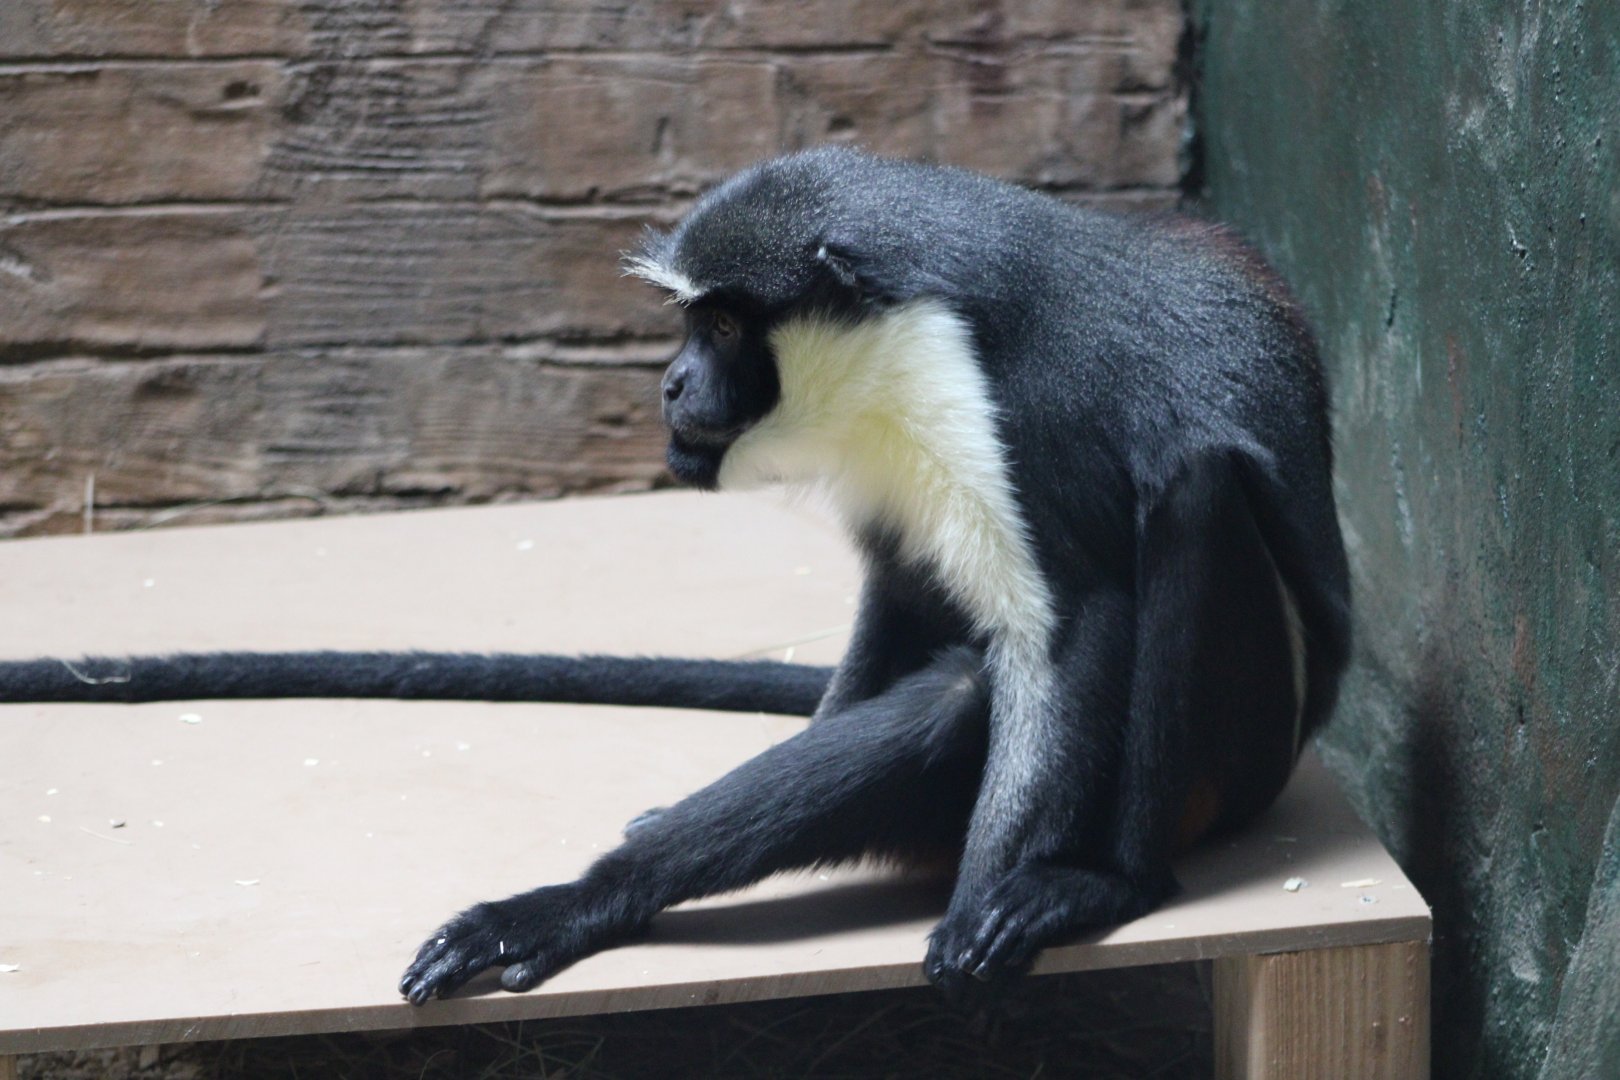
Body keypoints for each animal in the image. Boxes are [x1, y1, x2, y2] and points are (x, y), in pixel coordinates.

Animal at [0, 148, 1350, 1006]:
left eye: (724, 324)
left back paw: (1108, 878)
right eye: (689, 324)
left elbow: (1072, 628)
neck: (909, 332)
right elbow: (895, 597)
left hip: (1232, 759)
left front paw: (996, 905)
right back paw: (592, 895)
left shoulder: (1028, 413)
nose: (669, 384)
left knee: (1191, 503)